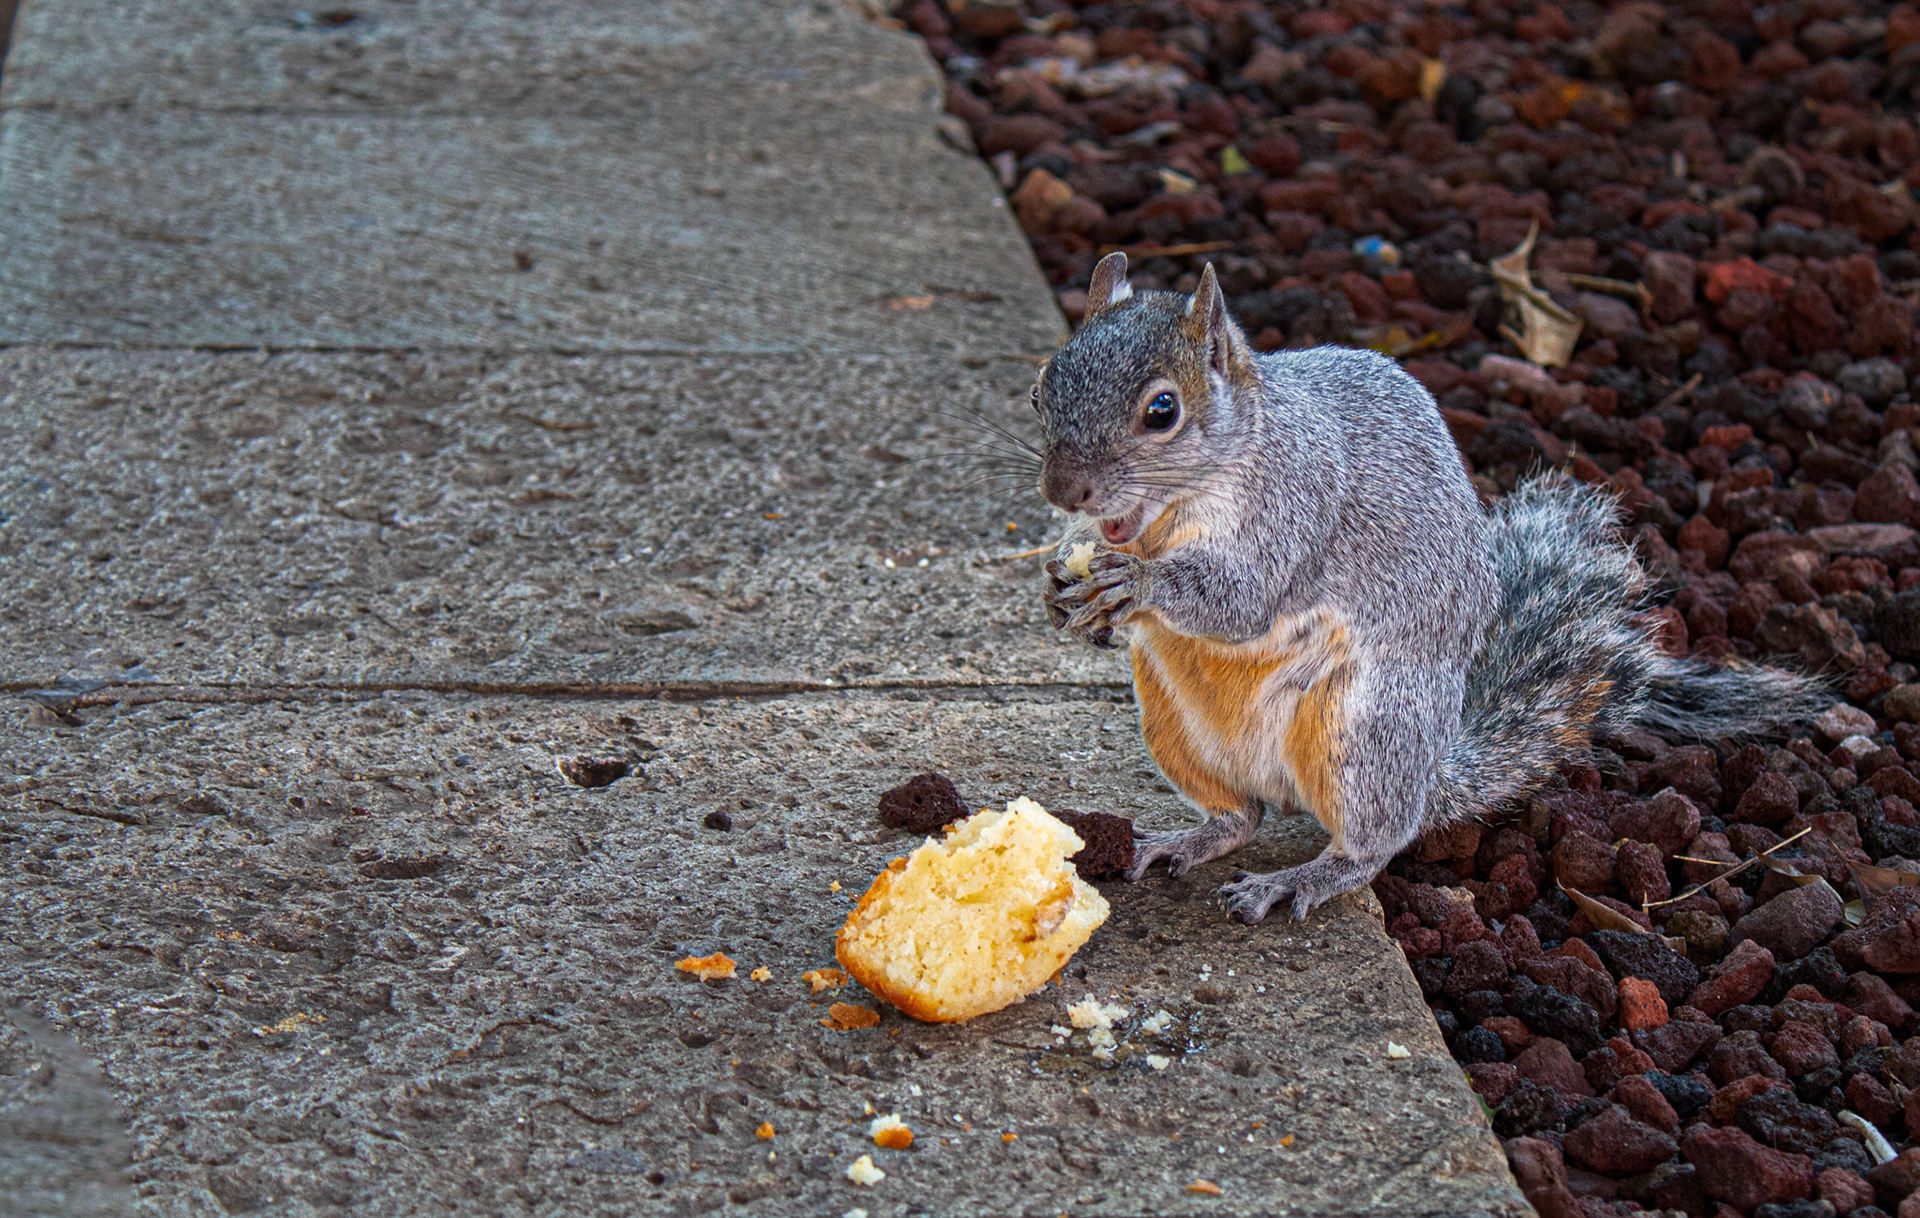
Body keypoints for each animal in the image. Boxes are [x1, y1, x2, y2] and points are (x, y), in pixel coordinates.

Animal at [1034, 251, 1824, 924]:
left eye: (1162, 410)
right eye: (1042, 388)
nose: (1063, 491)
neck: (1172, 514)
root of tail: (1430, 776)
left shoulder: (1297, 505)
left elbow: (1242, 600)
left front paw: (1138, 583)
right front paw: (1061, 584)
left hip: (1366, 731)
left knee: (1372, 844)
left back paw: (1301, 878)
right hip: (1174, 728)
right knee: (1241, 817)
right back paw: (1187, 840)